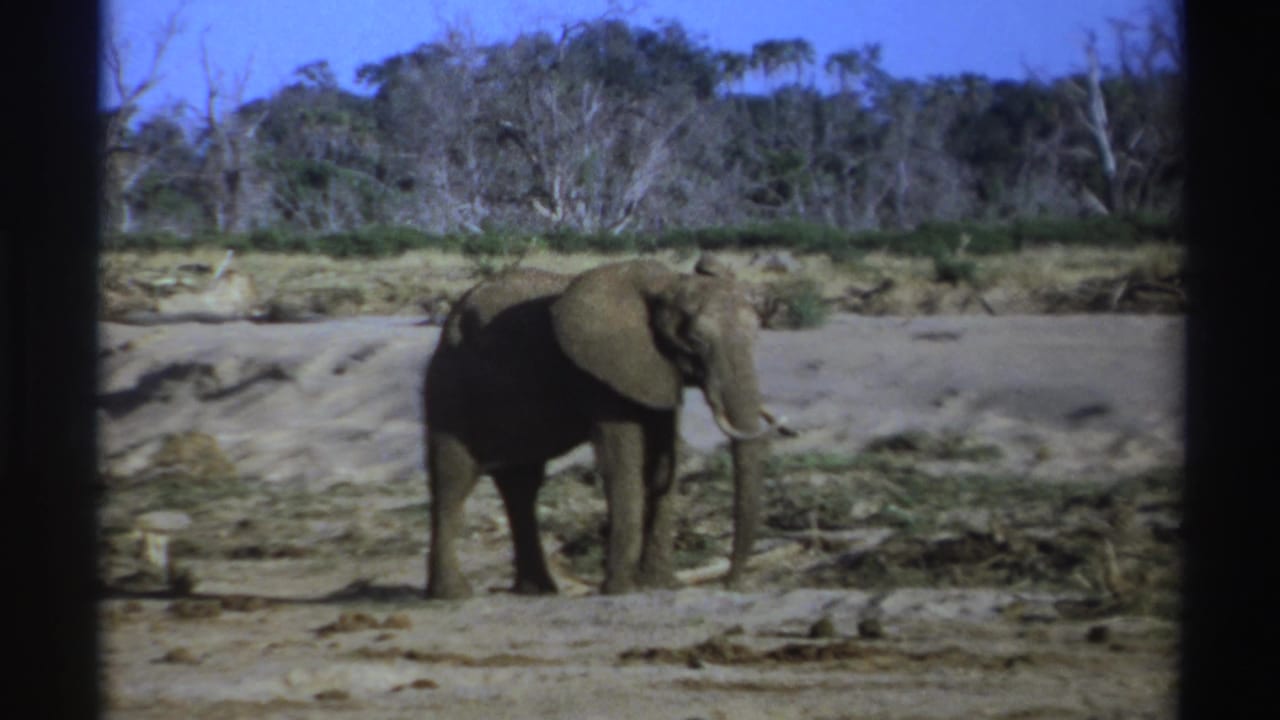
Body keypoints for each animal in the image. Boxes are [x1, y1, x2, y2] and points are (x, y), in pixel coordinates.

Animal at [422, 258, 780, 599]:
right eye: (695, 341)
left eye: (757, 335)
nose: (731, 583)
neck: (664, 284)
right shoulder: (603, 371)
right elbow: (621, 461)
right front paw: (622, 589)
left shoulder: (656, 370)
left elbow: (664, 460)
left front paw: (662, 584)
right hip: (449, 389)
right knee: (453, 480)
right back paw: (453, 595)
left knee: (521, 485)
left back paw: (537, 590)